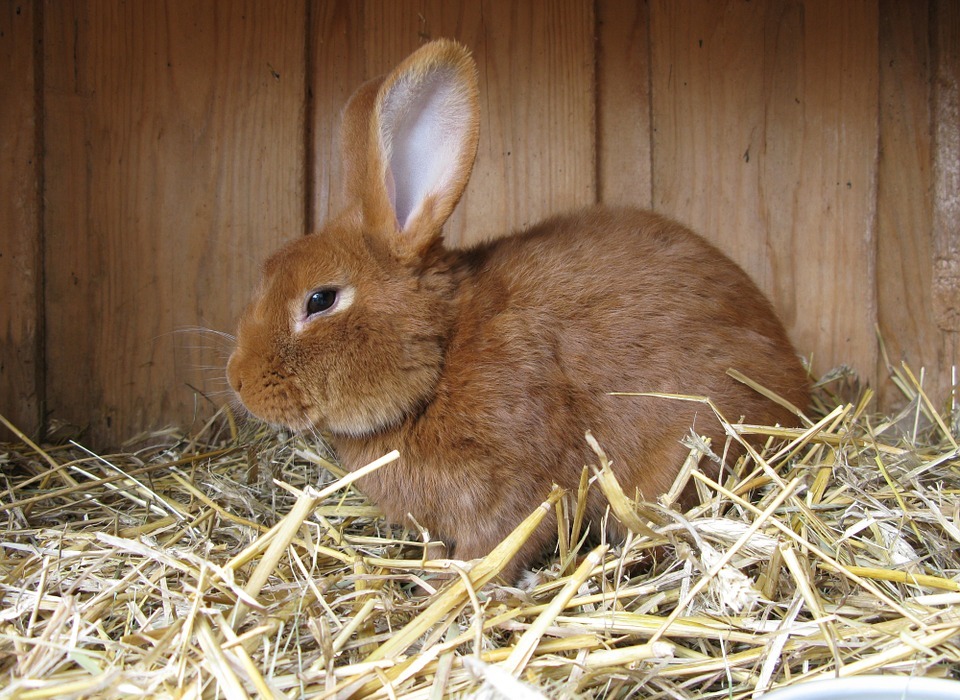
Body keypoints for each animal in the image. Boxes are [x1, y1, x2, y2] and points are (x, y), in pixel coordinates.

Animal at [227, 39, 808, 584]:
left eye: (320, 300)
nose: (238, 381)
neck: (444, 353)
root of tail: (799, 392)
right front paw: (431, 570)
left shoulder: (515, 485)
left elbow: (500, 542)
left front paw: (453, 586)